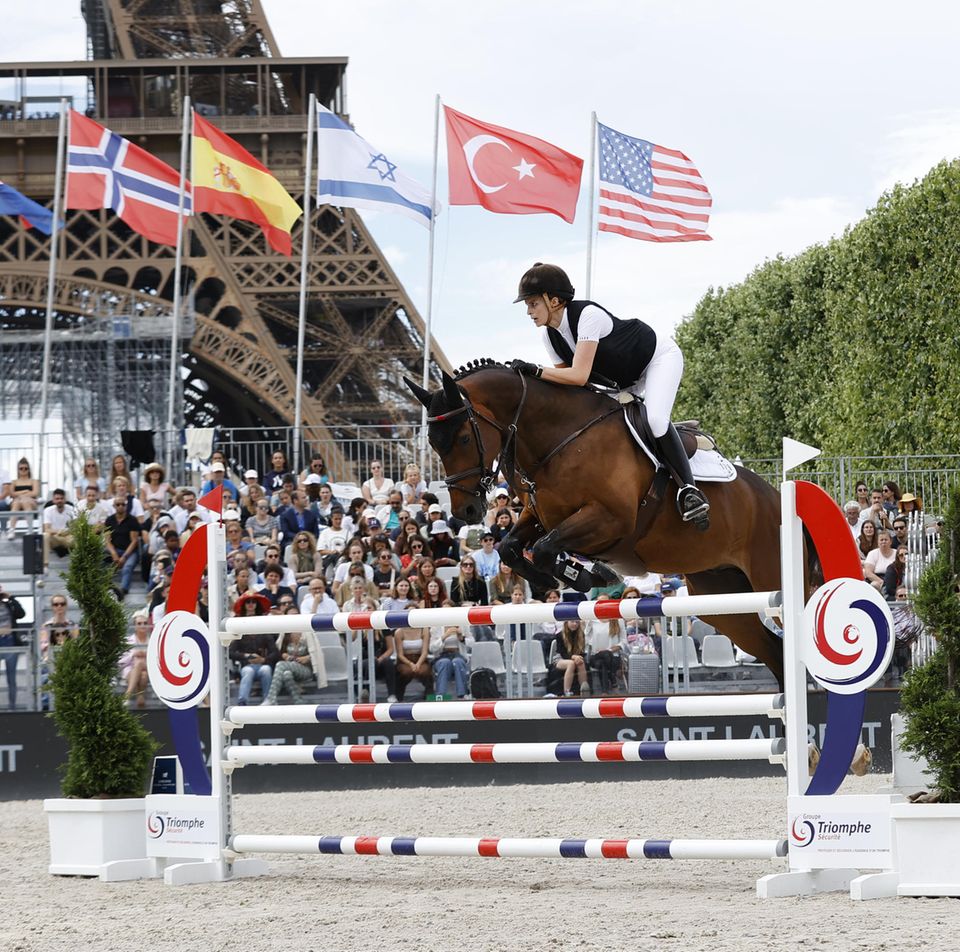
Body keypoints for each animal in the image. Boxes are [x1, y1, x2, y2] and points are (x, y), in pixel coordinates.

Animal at [404, 358, 788, 684]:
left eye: (464, 438)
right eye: (433, 444)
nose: (465, 512)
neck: (560, 438)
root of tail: (774, 496)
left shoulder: (610, 519)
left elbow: (544, 548)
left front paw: (586, 574)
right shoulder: (541, 516)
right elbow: (511, 546)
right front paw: (570, 575)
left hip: (769, 578)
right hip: (722, 598)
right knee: (773, 651)